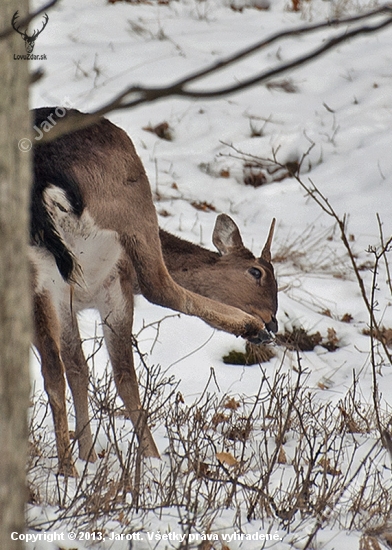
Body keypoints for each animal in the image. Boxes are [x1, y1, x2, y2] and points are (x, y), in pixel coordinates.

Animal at [30, 108, 278, 478]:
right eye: (257, 271)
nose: (273, 322)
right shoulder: (115, 286)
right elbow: (125, 379)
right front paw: (151, 458)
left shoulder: (64, 299)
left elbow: (76, 370)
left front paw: (87, 456)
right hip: (132, 205)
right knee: (159, 286)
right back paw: (247, 326)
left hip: (32, 274)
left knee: (52, 374)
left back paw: (67, 470)